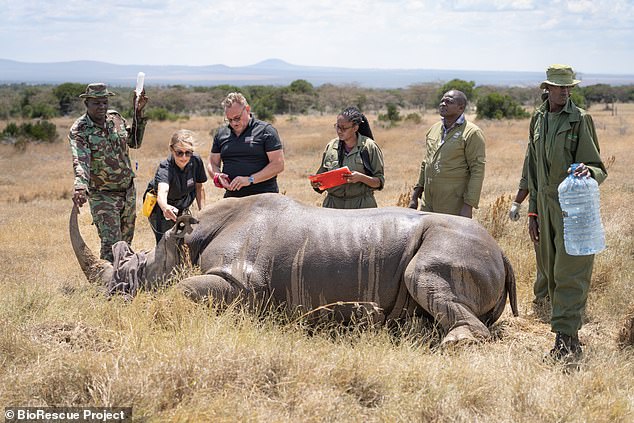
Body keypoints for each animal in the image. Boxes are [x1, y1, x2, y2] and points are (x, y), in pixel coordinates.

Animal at [70, 194, 512, 346]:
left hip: (456, 248)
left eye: (134, 274)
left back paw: (453, 343)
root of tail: (502, 252)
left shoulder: (241, 283)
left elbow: (182, 290)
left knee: (422, 275)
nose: (107, 299)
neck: (187, 240)